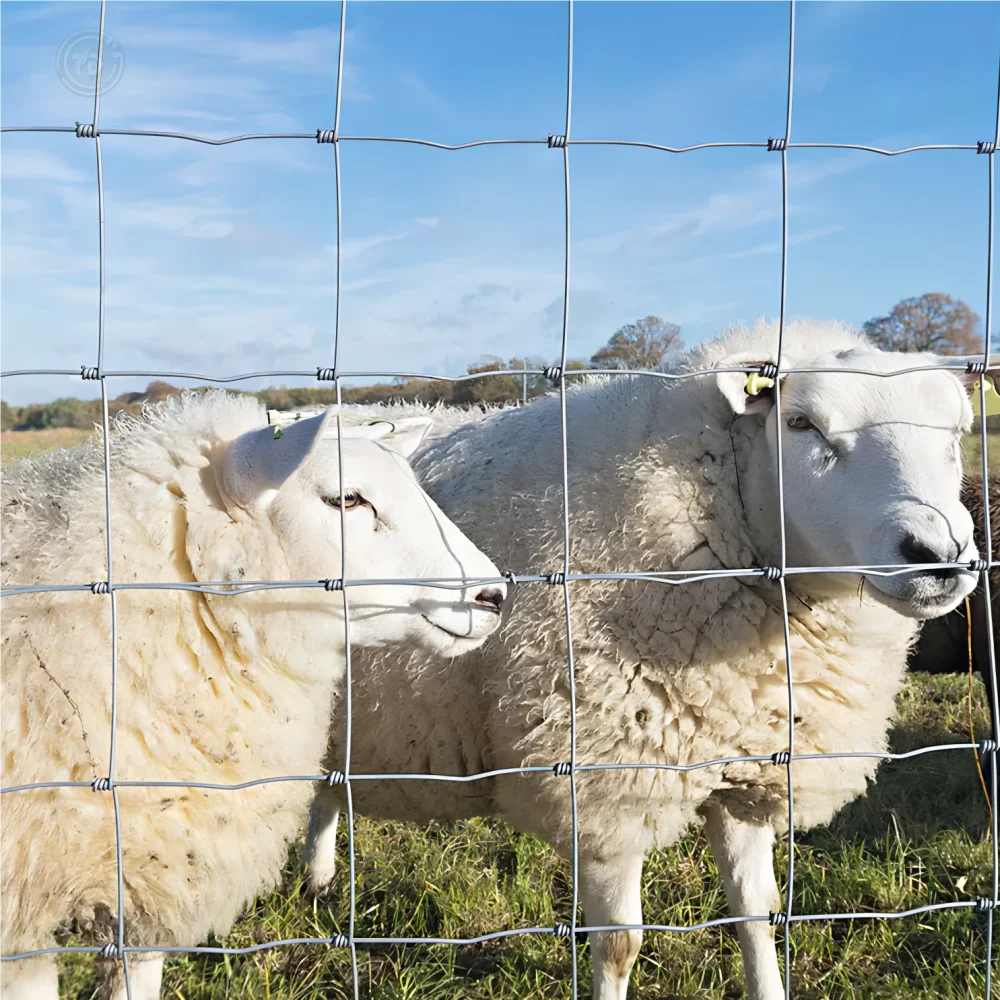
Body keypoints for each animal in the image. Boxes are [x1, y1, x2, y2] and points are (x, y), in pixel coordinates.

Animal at [303, 319, 981, 1000]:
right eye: (802, 424)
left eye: (955, 434)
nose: (939, 554)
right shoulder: (605, 790)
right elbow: (619, 946)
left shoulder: (746, 768)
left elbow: (757, 915)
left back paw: (319, 880)